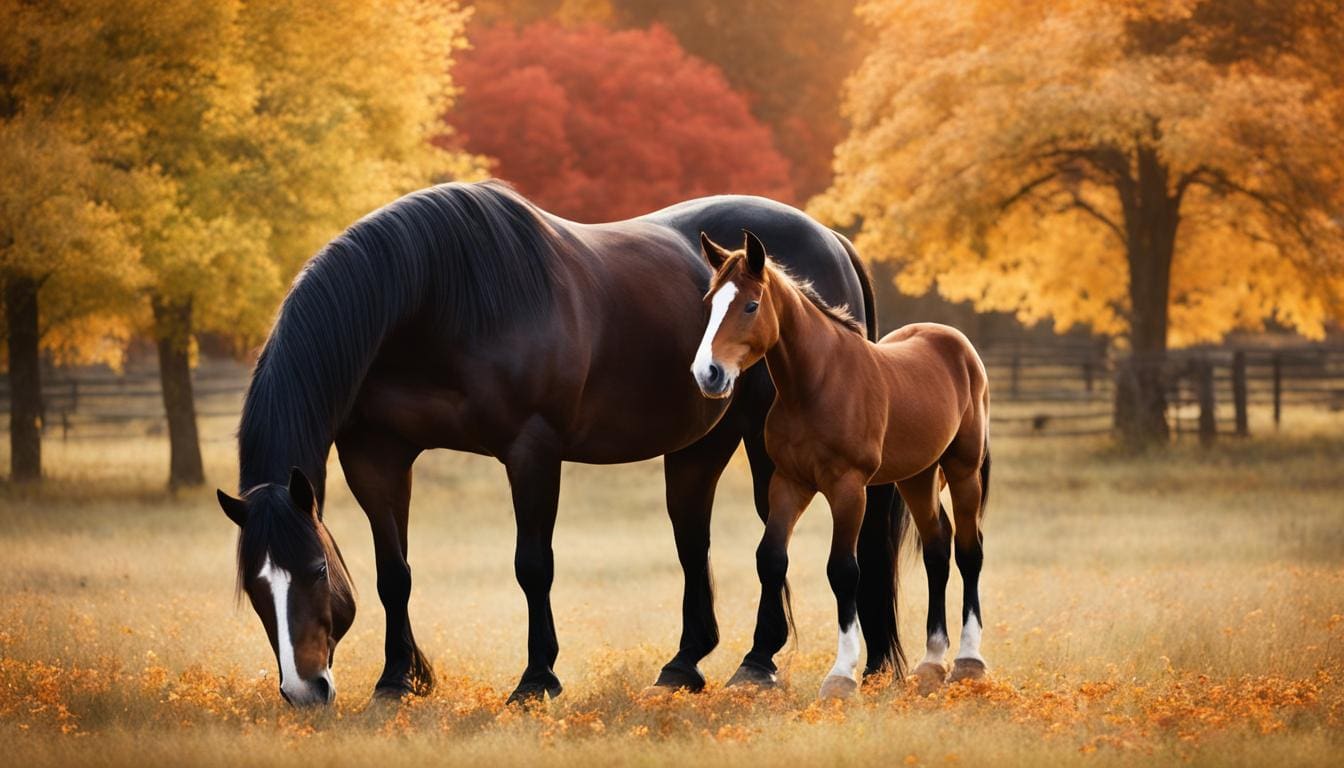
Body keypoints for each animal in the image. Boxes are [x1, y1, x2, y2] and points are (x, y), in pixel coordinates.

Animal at [214, 181, 910, 706]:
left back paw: (760, 663)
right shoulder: (374, 455)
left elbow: (533, 565)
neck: (437, 296)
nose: (304, 690)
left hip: (772, 447)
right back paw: (682, 668)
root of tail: (831, 241)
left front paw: (535, 680)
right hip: (699, 446)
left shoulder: (531, 451)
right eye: (253, 585)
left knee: (775, 542)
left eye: (314, 570)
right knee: (695, 545)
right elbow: (394, 574)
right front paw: (397, 681)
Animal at [691, 231, 991, 699]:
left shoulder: (848, 488)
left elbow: (843, 570)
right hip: (918, 477)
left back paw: (969, 662)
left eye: (751, 305)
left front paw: (842, 675)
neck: (817, 384)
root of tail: (957, 345)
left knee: (968, 551)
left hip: (963, 470)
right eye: (710, 303)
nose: (708, 374)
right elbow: (770, 558)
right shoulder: (789, 483)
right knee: (937, 551)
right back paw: (930, 664)